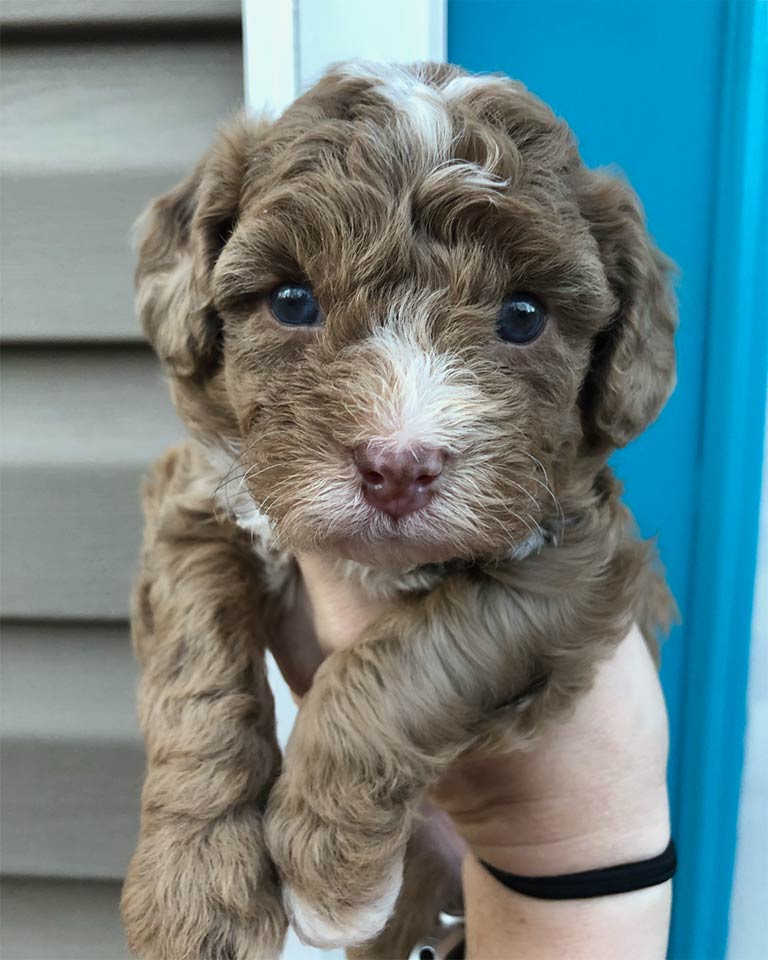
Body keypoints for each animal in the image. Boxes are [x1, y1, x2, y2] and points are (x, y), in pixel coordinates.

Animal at [121, 62, 680, 960]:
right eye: (292, 300)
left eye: (523, 315)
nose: (398, 467)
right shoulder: (198, 495)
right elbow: (194, 666)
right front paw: (194, 890)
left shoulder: (574, 558)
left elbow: (409, 661)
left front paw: (326, 868)